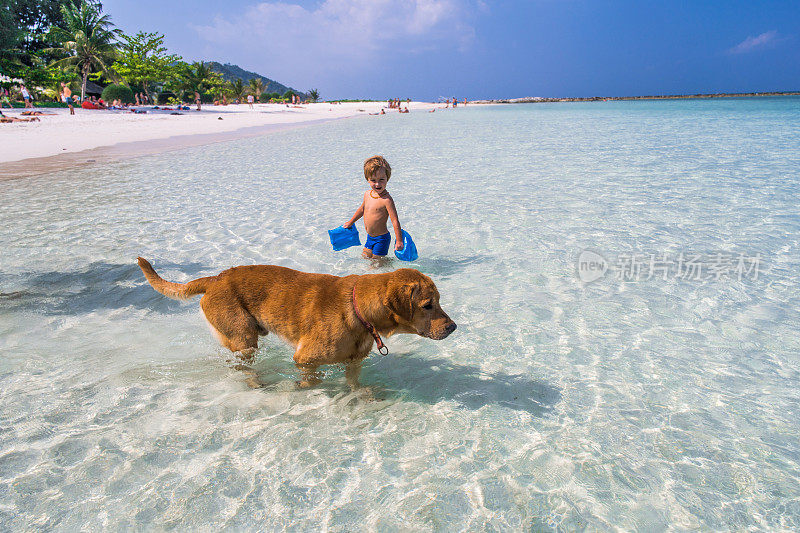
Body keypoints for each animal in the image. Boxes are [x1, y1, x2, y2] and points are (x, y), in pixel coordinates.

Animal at [134, 258, 454, 386]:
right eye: (428, 305)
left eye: (440, 300)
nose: (453, 327)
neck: (357, 309)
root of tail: (214, 278)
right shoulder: (305, 360)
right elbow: (310, 381)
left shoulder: (353, 363)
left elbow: (355, 385)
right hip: (244, 339)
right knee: (243, 367)